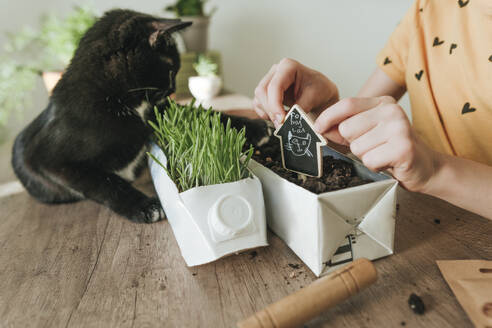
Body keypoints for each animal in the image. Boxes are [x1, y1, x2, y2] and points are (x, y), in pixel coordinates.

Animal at [10, 8, 272, 223]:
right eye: (172, 68)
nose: (173, 89)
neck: (119, 100)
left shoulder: (161, 112)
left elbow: (206, 114)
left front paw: (257, 127)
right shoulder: (52, 162)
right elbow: (105, 184)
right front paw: (145, 206)